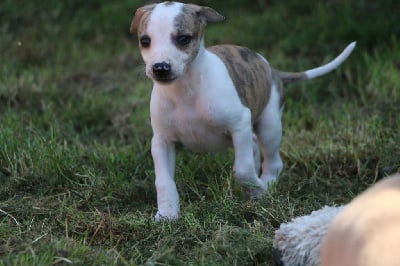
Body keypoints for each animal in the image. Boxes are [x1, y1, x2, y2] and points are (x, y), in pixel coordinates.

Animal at [131, 1, 356, 220]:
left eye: (183, 39)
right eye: (145, 41)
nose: (160, 68)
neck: (186, 90)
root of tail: (273, 70)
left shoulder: (239, 124)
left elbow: (242, 170)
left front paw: (258, 192)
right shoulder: (162, 141)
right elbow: (163, 181)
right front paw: (167, 213)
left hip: (269, 125)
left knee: (273, 160)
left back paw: (267, 183)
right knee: (254, 144)